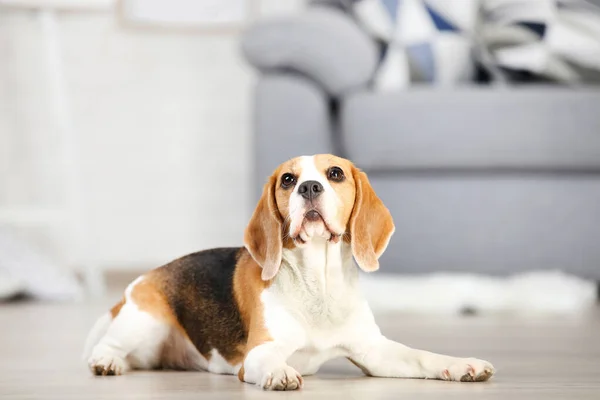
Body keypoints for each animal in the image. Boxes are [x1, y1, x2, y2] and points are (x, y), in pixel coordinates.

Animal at [84, 155, 496, 390]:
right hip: (146, 320)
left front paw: (463, 365)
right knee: (107, 347)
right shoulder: (259, 352)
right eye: (287, 179)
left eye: (335, 173)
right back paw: (106, 362)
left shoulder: (374, 352)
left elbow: (425, 357)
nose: (309, 187)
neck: (319, 286)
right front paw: (280, 373)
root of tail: (146, 277)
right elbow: (269, 361)